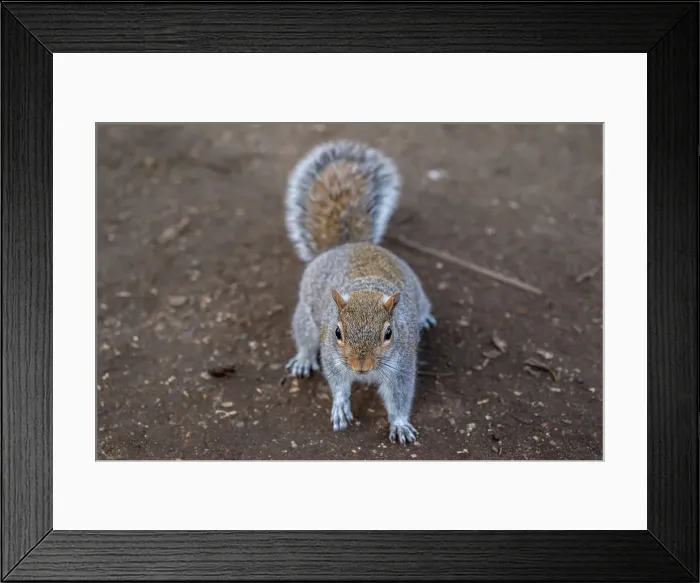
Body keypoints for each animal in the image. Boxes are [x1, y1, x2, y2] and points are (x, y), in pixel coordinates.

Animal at [283, 139, 436, 444]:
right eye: (337, 332)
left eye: (389, 333)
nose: (360, 367)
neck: (366, 288)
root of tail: (349, 245)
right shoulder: (332, 357)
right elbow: (338, 384)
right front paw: (340, 406)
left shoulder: (402, 367)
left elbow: (399, 398)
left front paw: (400, 424)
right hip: (305, 317)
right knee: (305, 339)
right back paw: (303, 360)